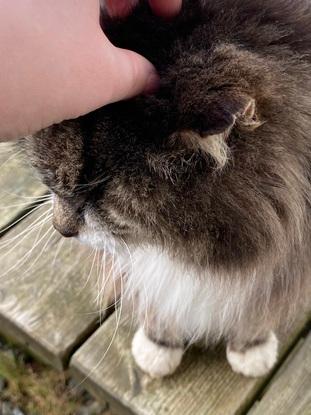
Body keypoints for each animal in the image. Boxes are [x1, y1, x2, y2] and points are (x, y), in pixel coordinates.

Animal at [22, 0, 311, 378]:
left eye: (100, 197)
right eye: (49, 178)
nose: (61, 230)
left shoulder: (287, 260)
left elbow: (257, 308)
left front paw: (251, 349)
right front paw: (158, 346)